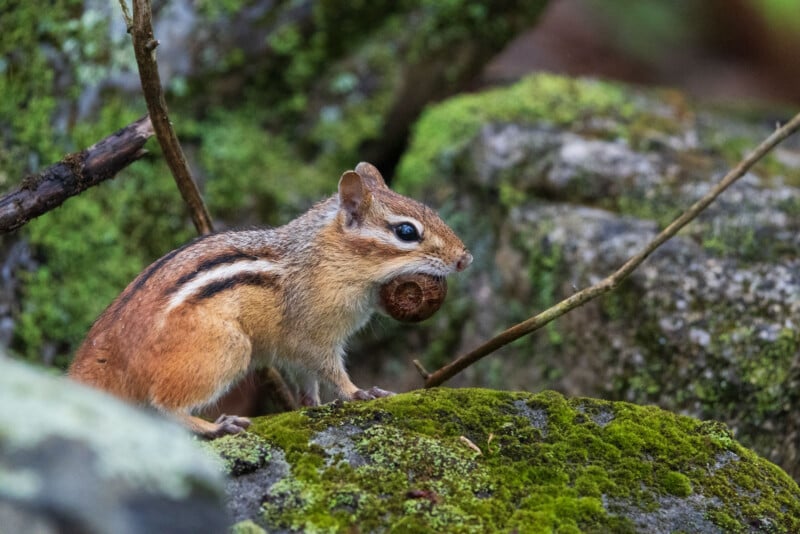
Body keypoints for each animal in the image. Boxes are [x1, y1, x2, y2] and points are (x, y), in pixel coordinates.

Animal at [68, 162, 472, 438]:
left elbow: (307, 380)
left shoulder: (295, 351)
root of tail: (107, 351)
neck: (329, 258)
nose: (465, 258)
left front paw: (315, 405)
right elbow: (330, 370)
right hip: (227, 348)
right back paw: (216, 426)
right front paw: (359, 392)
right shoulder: (313, 335)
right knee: (163, 405)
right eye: (406, 232)